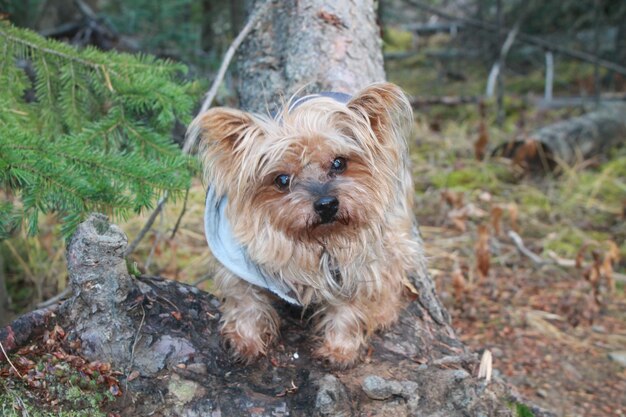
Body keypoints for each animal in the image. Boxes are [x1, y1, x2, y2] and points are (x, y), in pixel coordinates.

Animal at [191, 81, 424, 364]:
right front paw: (246, 341)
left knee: (394, 263)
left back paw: (383, 311)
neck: (311, 240)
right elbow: (245, 300)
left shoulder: (353, 265)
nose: (326, 204)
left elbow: (349, 306)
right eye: (282, 180)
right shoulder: (237, 263)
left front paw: (340, 348)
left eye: (339, 162)